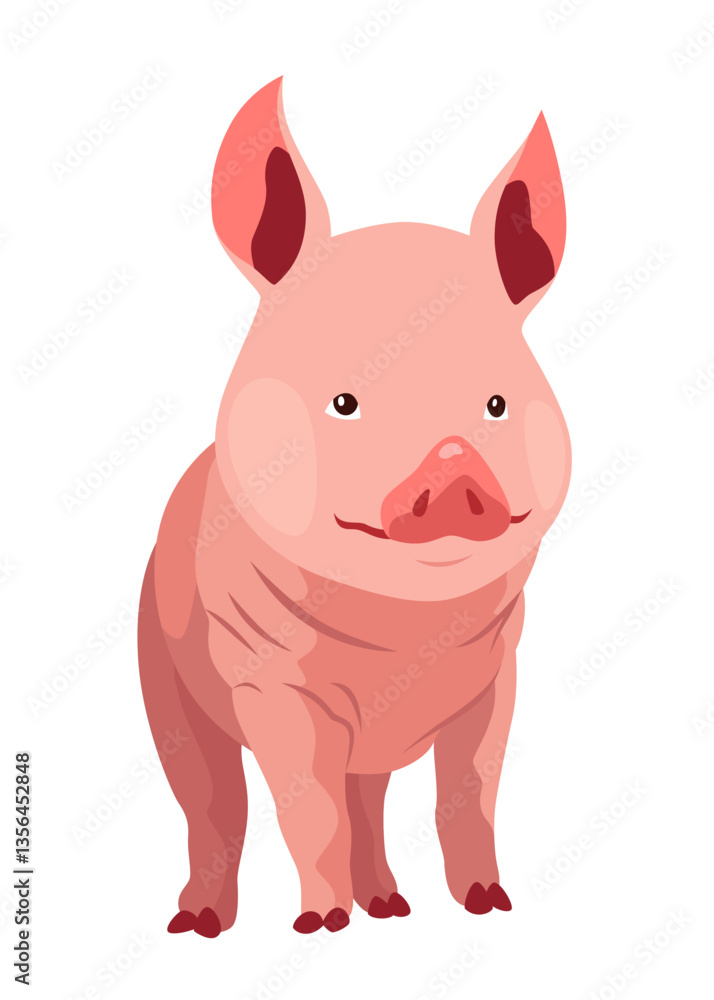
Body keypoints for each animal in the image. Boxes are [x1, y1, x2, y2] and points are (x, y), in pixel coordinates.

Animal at [138, 76, 570, 938]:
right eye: (345, 402)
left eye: (497, 404)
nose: (452, 470)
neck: (402, 637)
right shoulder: (266, 679)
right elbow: (307, 809)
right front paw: (318, 927)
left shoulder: (497, 675)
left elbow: (470, 792)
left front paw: (489, 906)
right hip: (158, 664)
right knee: (210, 797)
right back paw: (201, 926)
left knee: (368, 795)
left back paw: (392, 909)